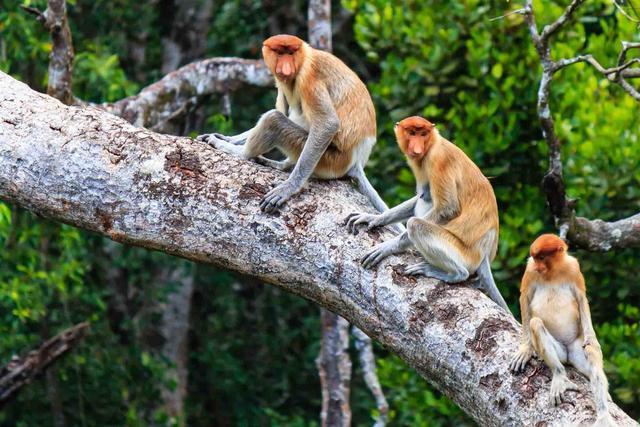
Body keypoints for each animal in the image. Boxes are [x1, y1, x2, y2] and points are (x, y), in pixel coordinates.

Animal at [198, 33, 390, 216]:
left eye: (291, 53)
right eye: (279, 53)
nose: (285, 68)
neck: (304, 57)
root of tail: (356, 161)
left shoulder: (308, 78)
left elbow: (327, 124)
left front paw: (288, 188)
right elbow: (284, 110)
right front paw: (226, 137)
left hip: (331, 160)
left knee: (274, 120)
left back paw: (239, 152)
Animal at [344, 115, 510, 312]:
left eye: (423, 134)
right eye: (412, 133)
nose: (417, 148)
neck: (433, 143)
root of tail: (484, 254)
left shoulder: (438, 160)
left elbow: (447, 208)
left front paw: (387, 247)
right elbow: (419, 196)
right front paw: (374, 218)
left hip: (464, 253)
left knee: (416, 224)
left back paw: (455, 274)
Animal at [508, 236, 616, 426]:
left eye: (542, 257)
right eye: (535, 258)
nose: (538, 266)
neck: (553, 271)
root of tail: (567, 353)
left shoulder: (574, 268)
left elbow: (581, 299)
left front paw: (592, 340)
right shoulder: (530, 271)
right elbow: (525, 298)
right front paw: (525, 350)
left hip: (576, 349)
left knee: (591, 356)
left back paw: (603, 414)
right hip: (559, 351)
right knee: (536, 323)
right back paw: (559, 377)